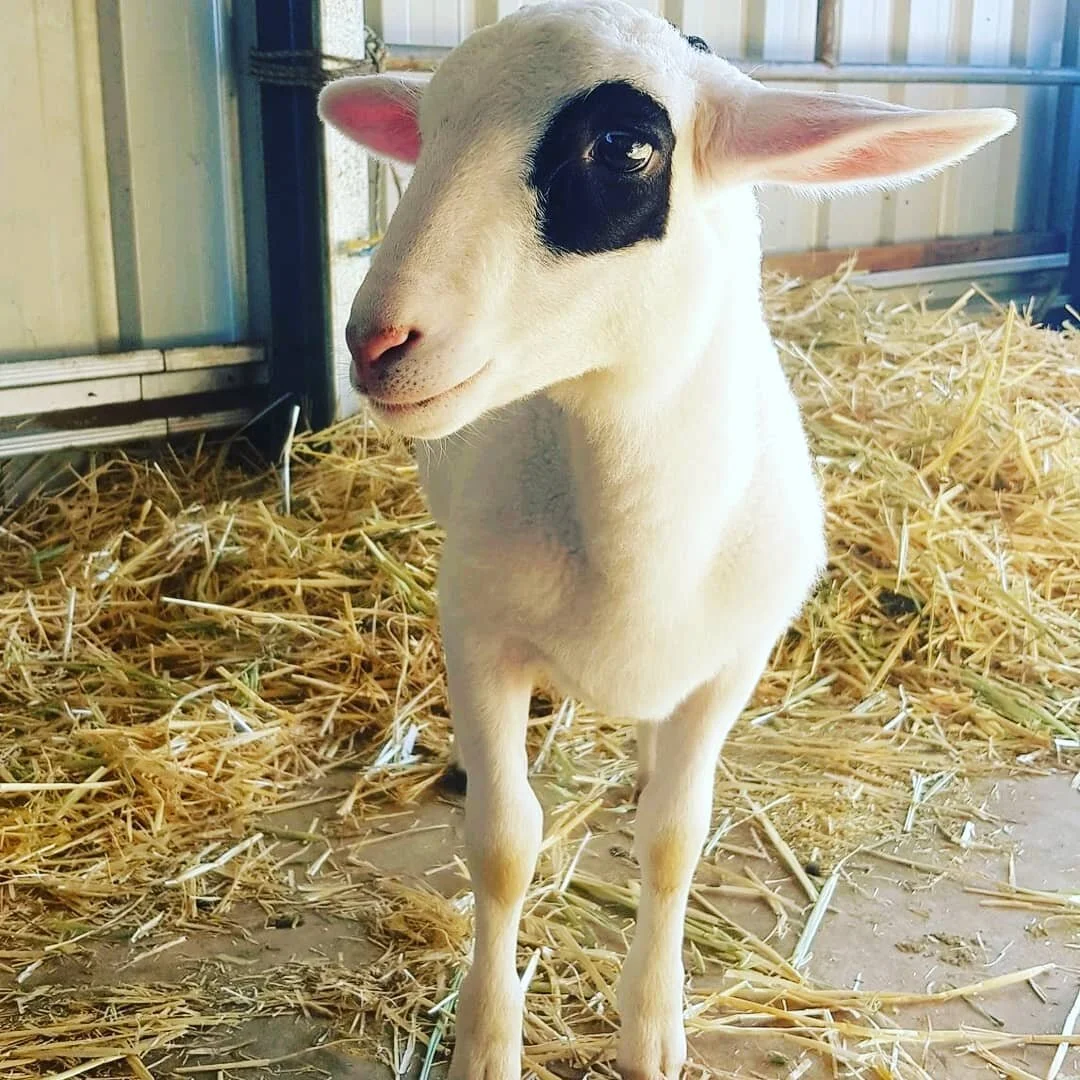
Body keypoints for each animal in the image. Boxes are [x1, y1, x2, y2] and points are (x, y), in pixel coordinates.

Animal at [317, 3, 1015, 1076]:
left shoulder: (734, 661)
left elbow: (674, 840)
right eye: (426, 135)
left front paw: (652, 1029)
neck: (635, 538)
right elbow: (504, 845)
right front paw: (487, 1041)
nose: (375, 342)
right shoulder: (476, 632)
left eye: (624, 147)